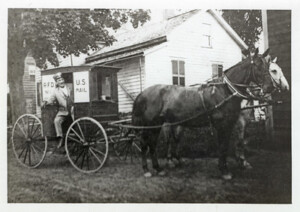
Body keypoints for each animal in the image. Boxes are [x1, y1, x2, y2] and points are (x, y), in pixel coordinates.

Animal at [131, 47, 274, 179]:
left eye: (268, 66)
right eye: (257, 65)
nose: (270, 87)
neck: (225, 91)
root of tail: (142, 94)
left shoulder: (229, 125)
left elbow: (225, 146)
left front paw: (224, 168)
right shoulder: (222, 125)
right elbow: (222, 147)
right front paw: (225, 171)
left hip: (157, 125)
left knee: (152, 144)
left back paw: (158, 168)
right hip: (150, 124)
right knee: (145, 143)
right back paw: (147, 170)